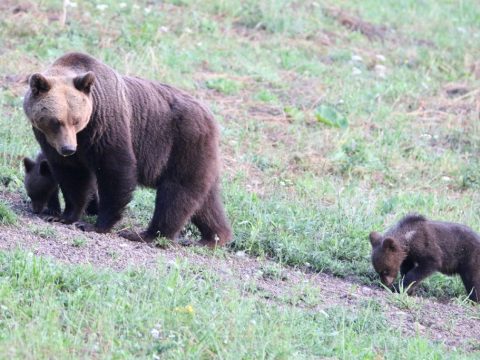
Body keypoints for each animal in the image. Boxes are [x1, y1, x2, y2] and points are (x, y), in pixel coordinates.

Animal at [23, 51, 232, 248]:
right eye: (56, 121)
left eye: (76, 120)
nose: (68, 148)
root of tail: (211, 117)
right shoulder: (52, 140)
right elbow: (71, 174)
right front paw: (63, 216)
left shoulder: (106, 126)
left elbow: (115, 170)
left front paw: (95, 224)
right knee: (205, 201)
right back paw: (213, 237)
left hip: (183, 145)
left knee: (176, 192)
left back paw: (146, 234)